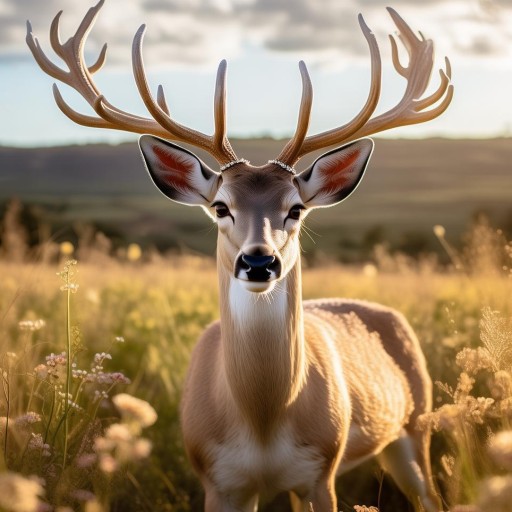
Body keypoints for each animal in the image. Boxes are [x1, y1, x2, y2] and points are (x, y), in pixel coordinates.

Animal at [28, 2, 452, 510]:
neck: (262, 420)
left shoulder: (322, 471)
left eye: (296, 208)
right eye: (220, 206)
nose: (258, 262)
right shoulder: (218, 478)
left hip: (416, 426)